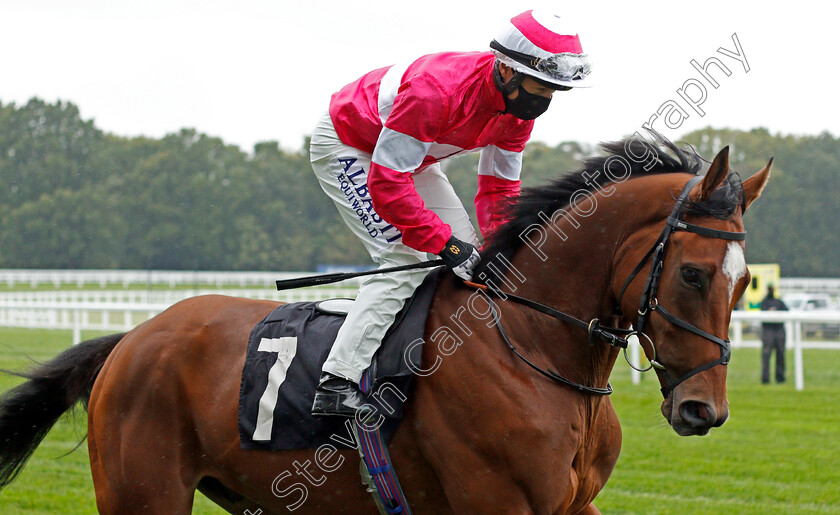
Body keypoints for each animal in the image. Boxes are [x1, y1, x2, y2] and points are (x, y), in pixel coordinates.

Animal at [0, 135, 772, 512]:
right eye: (694, 273)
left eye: (745, 281)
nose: (703, 409)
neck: (531, 347)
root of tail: (130, 340)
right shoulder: (497, 501)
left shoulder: (573, 507)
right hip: (143, 493)